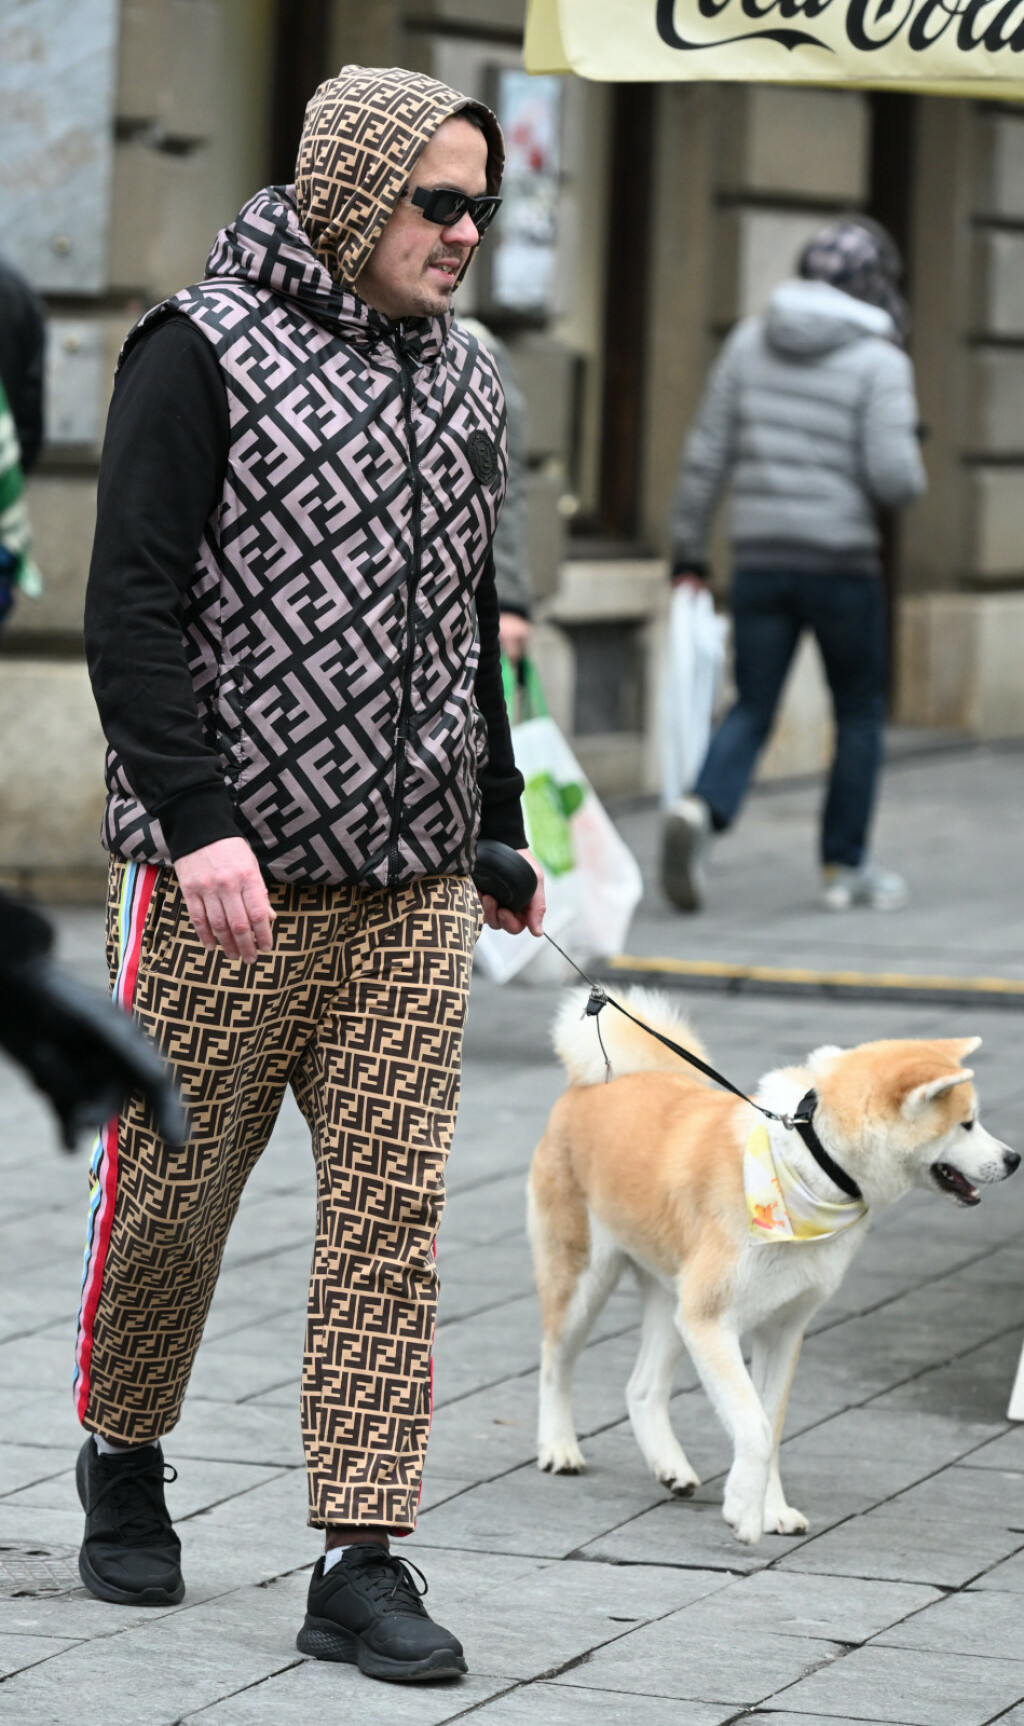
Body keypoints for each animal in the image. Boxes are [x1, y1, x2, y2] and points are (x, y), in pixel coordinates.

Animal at [528, 994, 1015, 1546]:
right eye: (967, 1124)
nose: (1014, 1158)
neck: (814, 1165)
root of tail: (595, 1082)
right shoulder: (712, 1323)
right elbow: (756, 1427)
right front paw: (744, 1511)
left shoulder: (780, 1329)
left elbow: (771, 1425)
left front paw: (771, 1509)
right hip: (586, 1280)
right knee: (555, 1361)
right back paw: (559, 1448)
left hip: (674, 1303)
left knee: (642, 1388)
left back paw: (671, 1467)